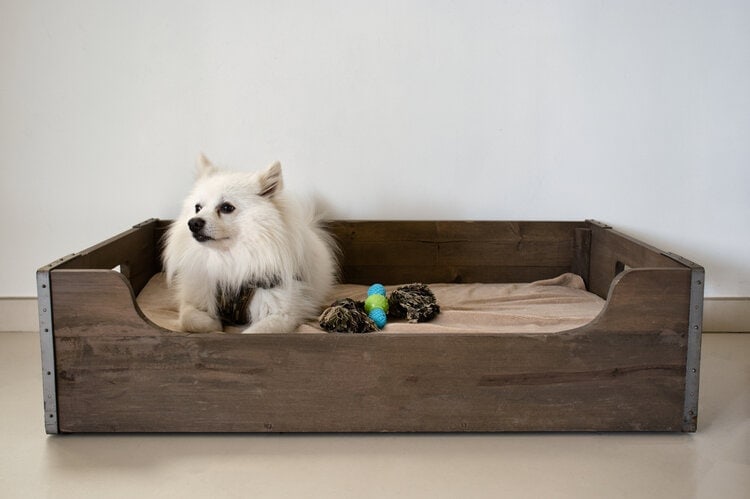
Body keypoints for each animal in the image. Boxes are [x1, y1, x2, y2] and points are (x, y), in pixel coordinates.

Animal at [167, 155, 340, 336]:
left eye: (226, 207)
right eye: (198, 208)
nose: (193, 223)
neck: (229, 259)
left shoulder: (282, 312)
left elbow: (254, 332)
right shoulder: (195, 296)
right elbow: (189, 319)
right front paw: (213, 324)